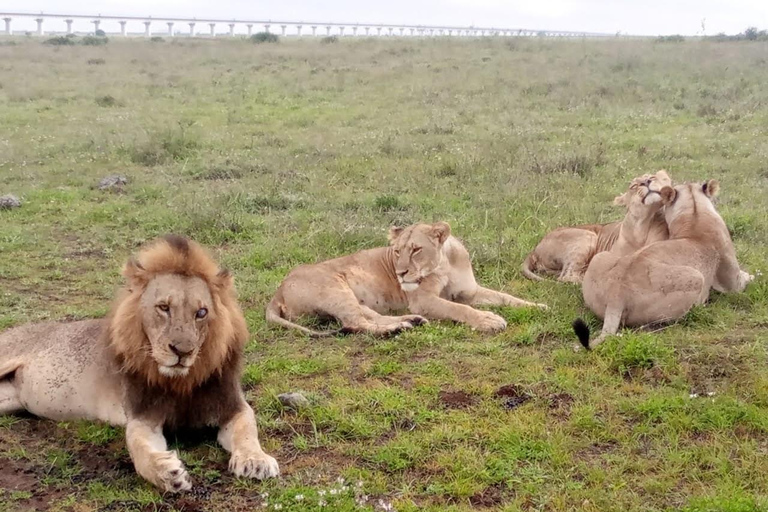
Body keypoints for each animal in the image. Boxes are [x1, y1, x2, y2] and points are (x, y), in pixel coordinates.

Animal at [0, 236, 280, 492]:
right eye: (164, 307)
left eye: (201, 313)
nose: (182, 351)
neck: (182, 382)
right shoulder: (142, 417)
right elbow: (140, 450)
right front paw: (167, 473)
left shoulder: (232, 406)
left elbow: (247, 431)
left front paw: (255, 460)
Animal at [268, 221, 544, 336]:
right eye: (398, 251)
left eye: (416, 249)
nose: (400, 273)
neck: (444, 265)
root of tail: (277, 291)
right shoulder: (423, 300)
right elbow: (459, 308)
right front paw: (488, 320)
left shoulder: (471, 292)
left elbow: (506, 297)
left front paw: (537, 306)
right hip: (335, 288)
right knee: (357, 324)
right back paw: (397, 329)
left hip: (350, 297)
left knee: (369, 317)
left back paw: (411, 321)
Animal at [520, 172, 672, 284]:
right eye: (634, 186)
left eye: (652, 177)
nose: (646, 182)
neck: (643, 225)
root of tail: (535, 249)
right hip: (587, 236)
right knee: (566, 276)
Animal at [572, 178, 752, 350]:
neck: (695, 213)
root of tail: (616, 297)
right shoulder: (731, 281)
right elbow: (740, 281)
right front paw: (750, 275)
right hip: (696, 278)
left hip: (600, 257)